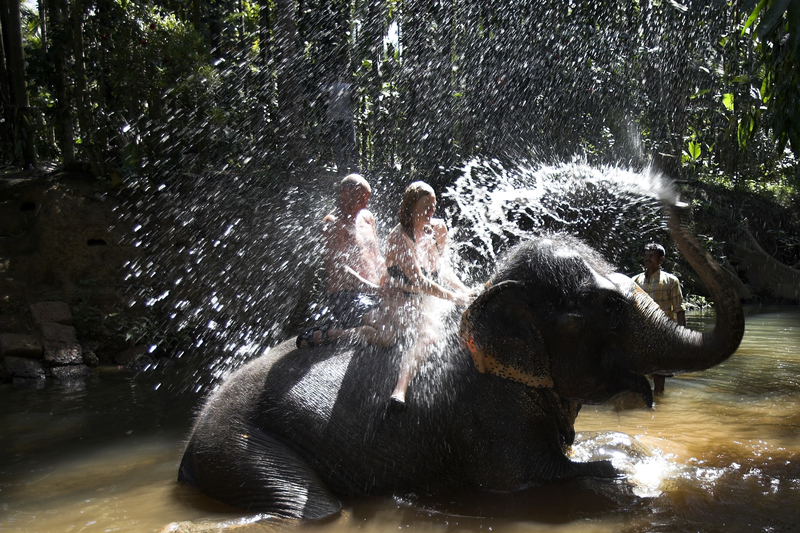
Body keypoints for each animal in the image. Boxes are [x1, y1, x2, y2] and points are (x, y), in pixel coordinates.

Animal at [180, 205, 744, 520]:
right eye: (608, 307)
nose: (679, 198)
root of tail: (189, 440)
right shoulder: (486, 413)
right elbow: (536, 476)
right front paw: (623, 474)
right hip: (236, 442)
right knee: (313, 508)